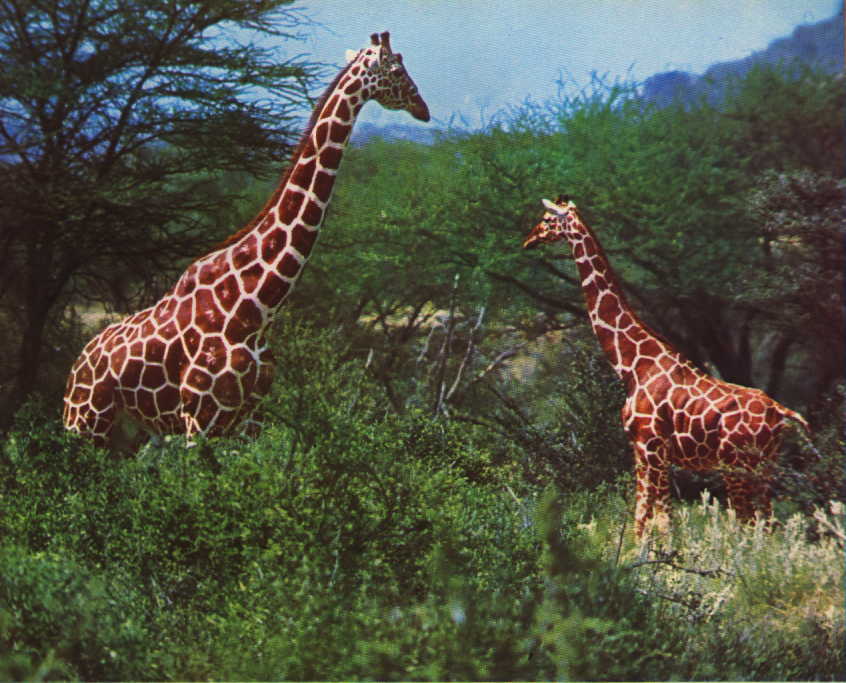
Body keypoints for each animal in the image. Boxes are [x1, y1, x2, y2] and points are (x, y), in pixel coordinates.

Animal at [63, 32, 429, 446]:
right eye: (397, 71)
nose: (423, 108)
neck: (256, 307)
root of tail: (75, 366)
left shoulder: (250, 417)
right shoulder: (201, 418)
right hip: (84, 422)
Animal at [523, 195, 811, 537]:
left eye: (546, 219)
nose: (528, 240)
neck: (631, 367)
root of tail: (780, 412)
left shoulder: (651, 447)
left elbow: (656, 521)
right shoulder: (642, 450)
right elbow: (645, 518)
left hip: (738, 464)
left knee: (749, 522)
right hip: (766, 464)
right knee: (767, 523)